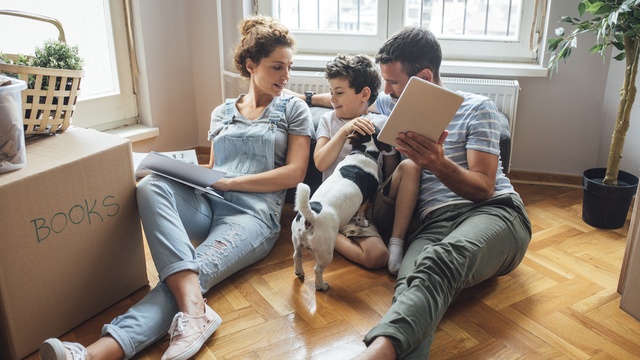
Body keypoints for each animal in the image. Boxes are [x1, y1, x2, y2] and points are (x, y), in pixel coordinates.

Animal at [292, 128, 392, 292]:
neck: (363, 151)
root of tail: (311, 217)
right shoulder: (368, 200)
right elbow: (362, 214)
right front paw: (362, 223)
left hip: (297, 241)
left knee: (296, 256)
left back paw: (299, 272)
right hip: (326, 252)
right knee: (317, 270)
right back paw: (322, 286)